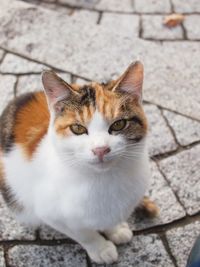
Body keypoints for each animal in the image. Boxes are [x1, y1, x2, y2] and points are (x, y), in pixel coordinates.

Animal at [0, 61, 156, 264]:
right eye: (77, 128)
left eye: (119, 124)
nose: (100, 149)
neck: (103, 180)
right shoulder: (51, 213)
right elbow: (83, 233)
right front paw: (101, 248)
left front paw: (115, 229)